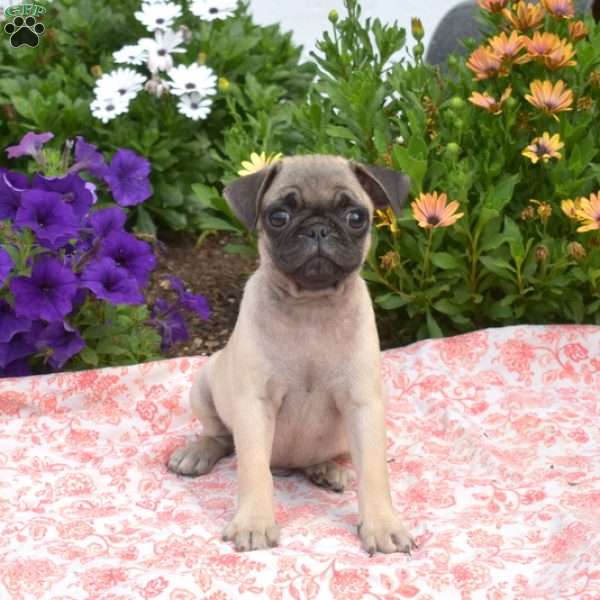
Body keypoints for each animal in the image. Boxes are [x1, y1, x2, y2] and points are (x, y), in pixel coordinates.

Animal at [166, 155, 414, 552]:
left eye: (356, 217)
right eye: (278, 216)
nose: (318, 230)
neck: (311, 306)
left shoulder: (362, 405)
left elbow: (375, 473)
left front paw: (381, 524)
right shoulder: (255, 405)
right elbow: (253, 470)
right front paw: (254, 522)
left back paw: (327, 469)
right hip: (203, 386)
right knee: (221, 436)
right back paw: (197, 452)